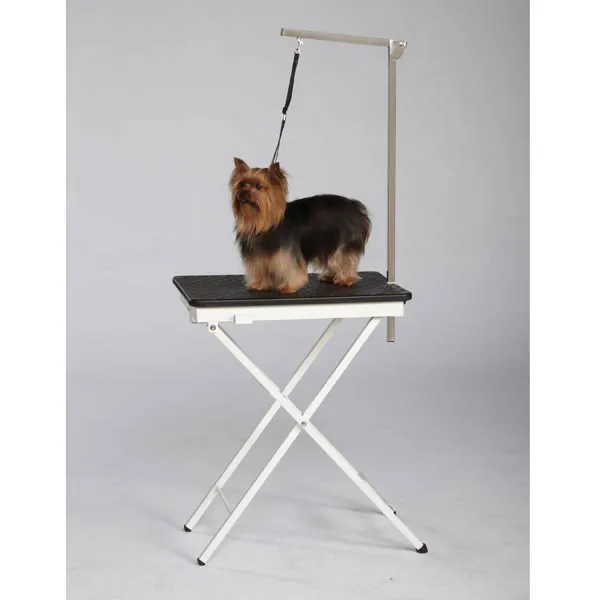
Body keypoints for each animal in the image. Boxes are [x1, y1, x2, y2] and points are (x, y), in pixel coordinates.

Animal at [229, 158, 371, 294]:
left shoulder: (286, 255)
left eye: (258, 186)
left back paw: (346, 279)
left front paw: (289, 286)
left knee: (343, 258)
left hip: (343, 241)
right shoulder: (258, 256)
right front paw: (259, 285)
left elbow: (292, 269)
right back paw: (330, 276)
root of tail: (354, 206)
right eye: (241, 184)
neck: (262, 224)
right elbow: (260, 270)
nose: (242, 193)